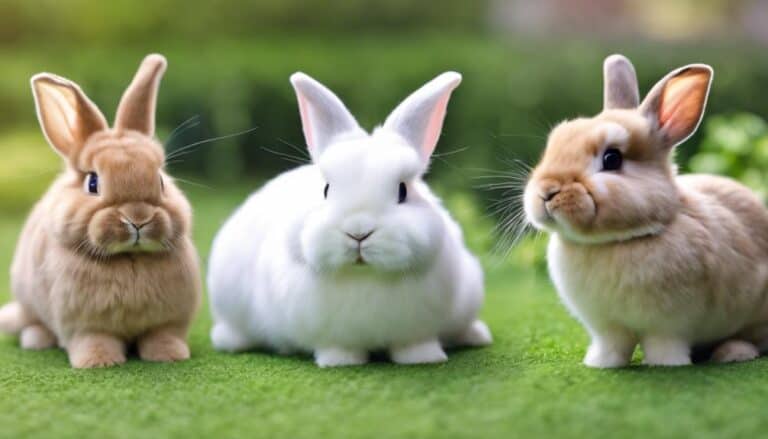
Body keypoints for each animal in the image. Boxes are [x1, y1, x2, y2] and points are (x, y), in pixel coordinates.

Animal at [0, 54, 202, 368]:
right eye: (93, 183)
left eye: (160, 181)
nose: (138, 219)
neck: (129, 258)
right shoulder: (84, 325)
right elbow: (94, 340)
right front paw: (99, 362)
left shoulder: (168, 322)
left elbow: (162, 336)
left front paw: (170, 356)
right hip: (28, 299)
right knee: (33, 321)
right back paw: (36, 340)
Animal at [207, 72, 491, 367]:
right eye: (326, 189)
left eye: (402, 191)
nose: (358, 232)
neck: (363, 277)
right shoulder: (329, 333)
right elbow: (338, 348)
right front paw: (340, 362)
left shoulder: (418, 330)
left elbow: (415, 344)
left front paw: (425, 359)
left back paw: (476, 335)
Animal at [523, 54, 768, 368]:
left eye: (612, 158)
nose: (546, 192)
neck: (616, 242)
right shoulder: (607, 327)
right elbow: (612, 346)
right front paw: (599, 364)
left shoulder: (669, 325)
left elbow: (664, 345)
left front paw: (665, 365)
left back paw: (733, 353)